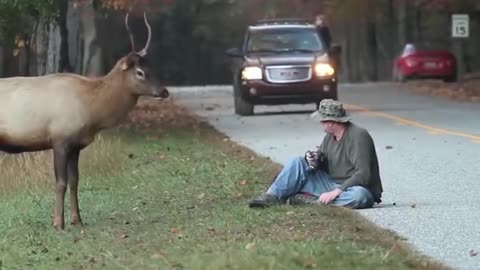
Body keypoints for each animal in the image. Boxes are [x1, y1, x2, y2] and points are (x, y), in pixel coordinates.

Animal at [0, 11, 169, 229]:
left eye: (151, 67)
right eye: (139, 72)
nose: (164, 91)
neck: (92, 110)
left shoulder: (76, 144)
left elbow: (74, 181)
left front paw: (77, 220)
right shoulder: (60, 139)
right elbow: (60, 183)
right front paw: (58, 223)